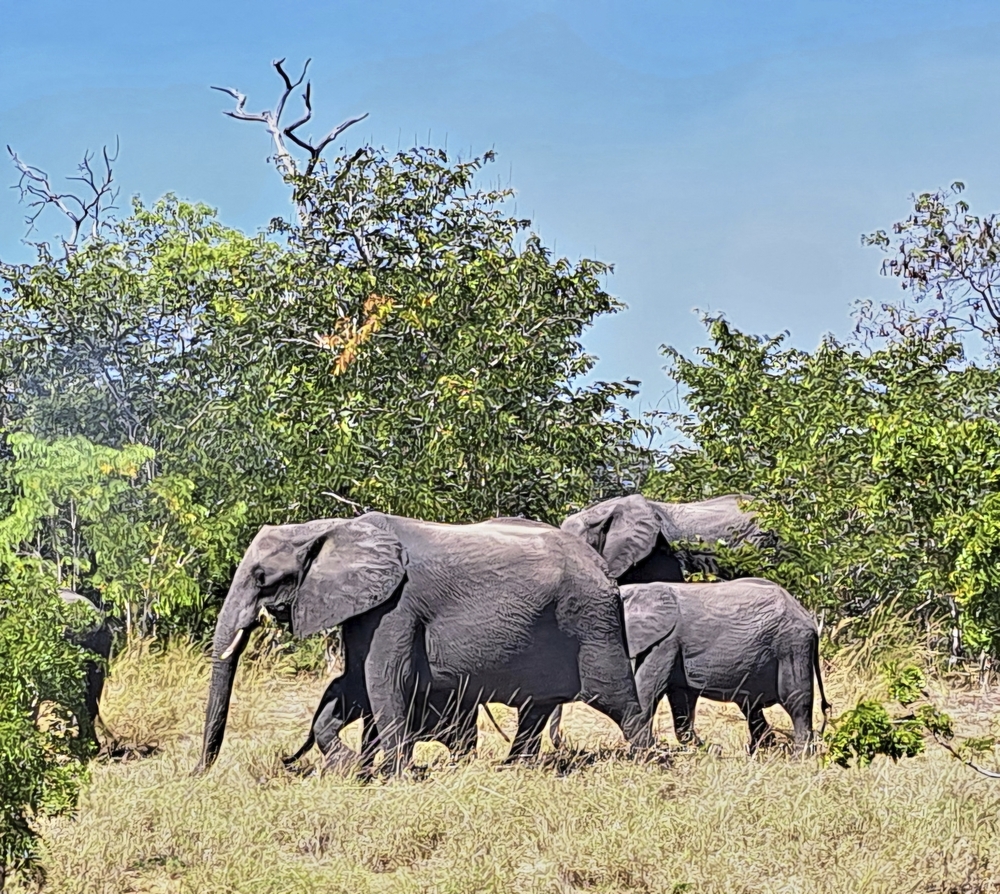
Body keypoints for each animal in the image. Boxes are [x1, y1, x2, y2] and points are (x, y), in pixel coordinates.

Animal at [193, 512, 656, 776]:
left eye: (261, 577)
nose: (198, 773)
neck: (328, 530)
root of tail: (601, 566)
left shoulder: (397, 604)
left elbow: (382, 679)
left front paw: (393, 777)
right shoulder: (367, 604)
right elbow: (355, 682)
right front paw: (354, 769)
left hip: (592, 620)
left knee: (617, 697)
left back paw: (650, 763)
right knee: (536, 707)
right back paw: (512, 770)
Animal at [624, 580, 828, 756]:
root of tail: (808, 619)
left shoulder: (665, 643)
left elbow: (646, 694)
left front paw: (645, 755)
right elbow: (682, 703)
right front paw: (711, 751)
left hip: (792, 646)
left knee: (796, 703)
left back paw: (799, 758)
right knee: (751, 706)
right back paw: (760, 751)